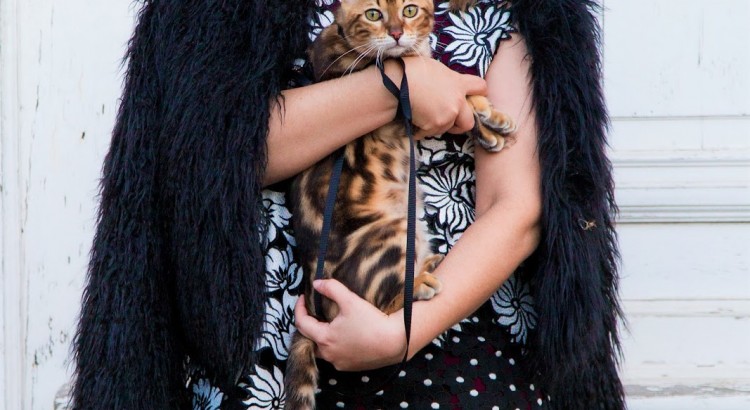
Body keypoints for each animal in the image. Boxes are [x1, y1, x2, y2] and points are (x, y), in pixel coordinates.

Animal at [284, 0, 516, 406]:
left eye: (409, 10)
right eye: (373, 14)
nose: (395, 33)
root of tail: (313, 297)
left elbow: (465, 99)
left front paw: (490, 120)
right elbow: (446, 82)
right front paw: (483, 117)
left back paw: (430, 265)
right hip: (393, 232)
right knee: (385, 304)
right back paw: (421, 282)